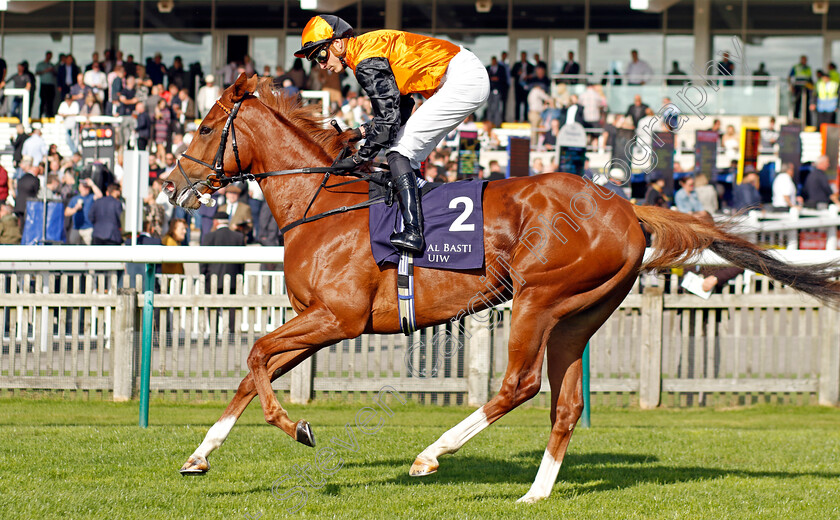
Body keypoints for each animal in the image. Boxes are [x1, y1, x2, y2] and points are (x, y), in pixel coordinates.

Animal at [164, 74, 840, 504]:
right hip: (579, 314)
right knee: (564, 403)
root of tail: (628, 210)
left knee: (520, 384)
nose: (172, 184)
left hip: (537, 298)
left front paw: (296, 427)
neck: (325, 204)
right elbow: (252, 373)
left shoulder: (338, 318)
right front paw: (199, 456)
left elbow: (255, 355)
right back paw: (535, 492)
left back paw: (430, 454)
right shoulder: (316, 320)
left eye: (205, 127)